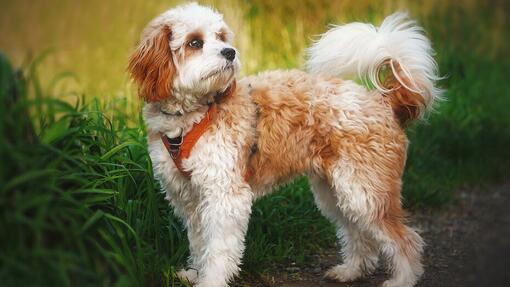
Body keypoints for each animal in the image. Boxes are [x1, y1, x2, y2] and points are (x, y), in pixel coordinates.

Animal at [128, 2, 442, 287]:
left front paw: (210, 281)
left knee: (406, 239)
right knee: (358, 233)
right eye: (194, 42)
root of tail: (382, 102)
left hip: (365, 190)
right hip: (337, 191)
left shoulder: (224, 195)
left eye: (221, 37)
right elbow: (198, 242)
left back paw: (401, 280)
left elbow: (218, 249)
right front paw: (194, 273)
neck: (195, 115)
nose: (230, 52)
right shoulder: (187, 196)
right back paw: (351, 271)